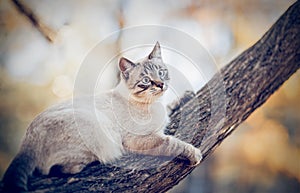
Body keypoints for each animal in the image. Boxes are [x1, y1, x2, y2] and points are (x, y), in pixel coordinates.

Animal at [1, 42, 202, 191]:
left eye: (161, 72)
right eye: (146, 80)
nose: (160, 85)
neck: (152, 104)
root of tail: (26, 141)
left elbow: (172, 107)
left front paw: (186, 96)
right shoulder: (141, 139)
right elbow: (173, 143)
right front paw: (195, 154)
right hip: (98, 129)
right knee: (56, 169)